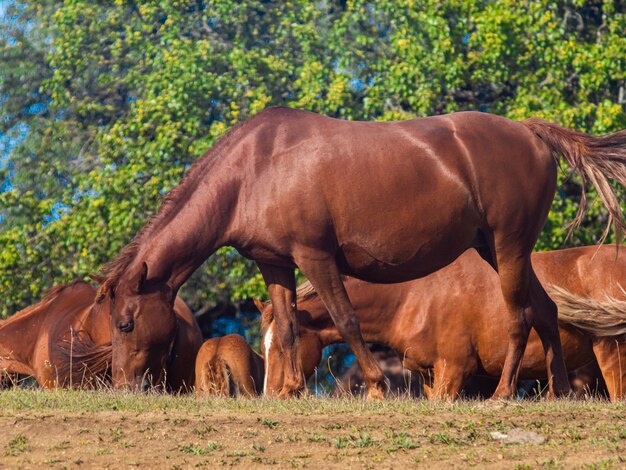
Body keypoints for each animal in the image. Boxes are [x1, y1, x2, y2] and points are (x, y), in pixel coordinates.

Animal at [258, 244, 624, 402]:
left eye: (285, 345)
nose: (270, 394)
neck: (414, 295)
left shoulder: (455, 371)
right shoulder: (432, 376)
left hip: (610, 352)